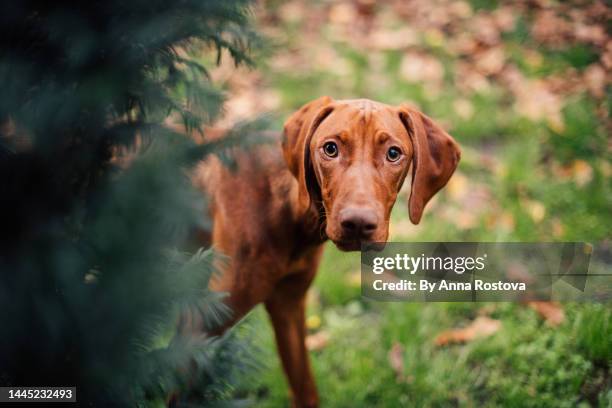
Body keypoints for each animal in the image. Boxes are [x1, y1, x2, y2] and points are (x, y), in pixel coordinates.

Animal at [186, 97, 460, 406]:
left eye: (393, 153)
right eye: (330, 149)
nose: (358, 223)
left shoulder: (289, 305)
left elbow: (305, 387)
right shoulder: (199, 324)